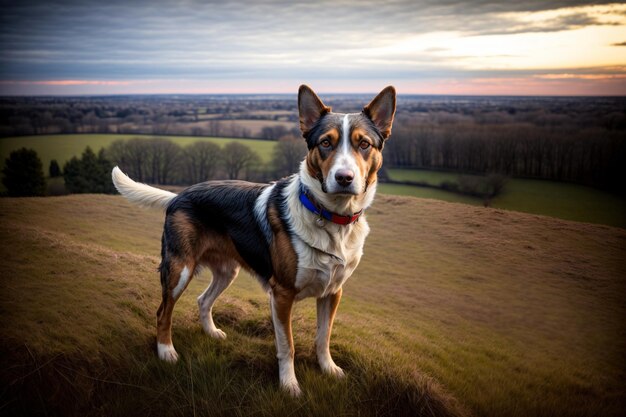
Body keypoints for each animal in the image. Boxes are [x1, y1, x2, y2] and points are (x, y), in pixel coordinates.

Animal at [112, 83, 394, 394]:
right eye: (325, 143)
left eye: (364, 144)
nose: (344, 177)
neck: (331, 217)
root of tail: (179, 196)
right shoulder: (281, 294)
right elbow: (287, 346)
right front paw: (289, 385)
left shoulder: (333, 291)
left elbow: (324, 338)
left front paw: (329, 369)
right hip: (179, 270)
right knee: (163, 312)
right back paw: (166, 352)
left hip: (227, 271)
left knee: (203, 300)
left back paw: (211, 333)